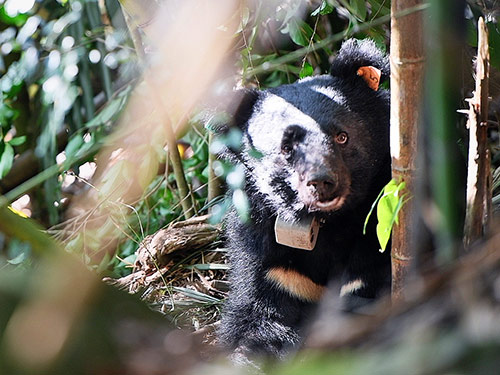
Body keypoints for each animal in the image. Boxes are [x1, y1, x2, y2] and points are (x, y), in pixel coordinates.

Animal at [217, 39, 392, 360]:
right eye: (286, 148)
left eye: (342, 137)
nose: (322, 183)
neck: (327, 222)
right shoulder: (272, 259)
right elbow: (260, 317)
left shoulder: (377, 228)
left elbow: (367, 291)